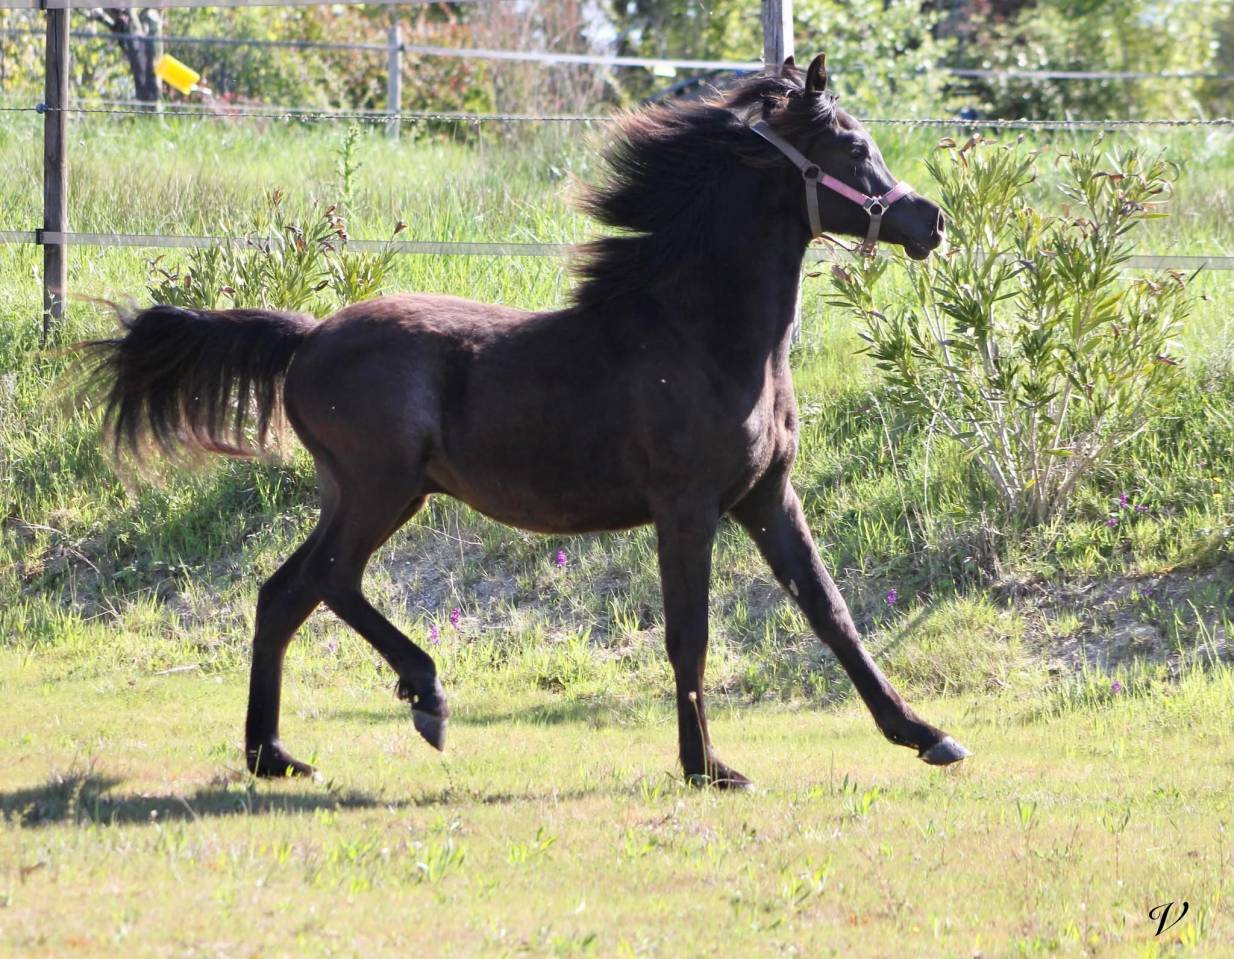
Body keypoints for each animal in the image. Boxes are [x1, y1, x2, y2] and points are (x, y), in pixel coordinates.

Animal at [81, 54, 967, 788]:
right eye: (851, 145)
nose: (929, 220)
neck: (701, 337)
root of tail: (305, 336)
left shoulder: (765, 497)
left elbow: (831, 611)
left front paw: (927, 735)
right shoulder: (687, 508)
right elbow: (691, 634)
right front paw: (708, 768)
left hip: (366, 494)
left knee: (283, 593)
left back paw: (274, 755)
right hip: (378, 489)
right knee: (330, 580)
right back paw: (425, 695)